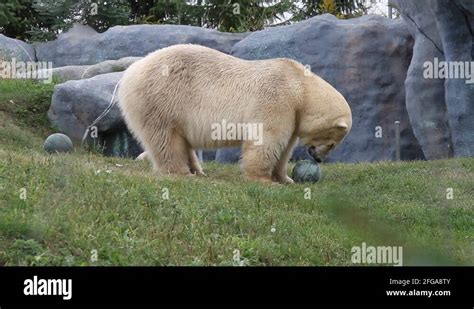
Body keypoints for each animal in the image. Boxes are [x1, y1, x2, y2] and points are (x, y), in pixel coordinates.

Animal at [117, 43, 350, 183]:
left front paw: (285, 178)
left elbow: (285, 147)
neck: (300, 85)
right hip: (162, 98)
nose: (318, 158)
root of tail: (131, 71)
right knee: (166, 138)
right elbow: (267, 138)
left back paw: (197, 170)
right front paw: (262, 180)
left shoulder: (293, 112)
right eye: (332, 143)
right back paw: (181, 172)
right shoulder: (278, 98)